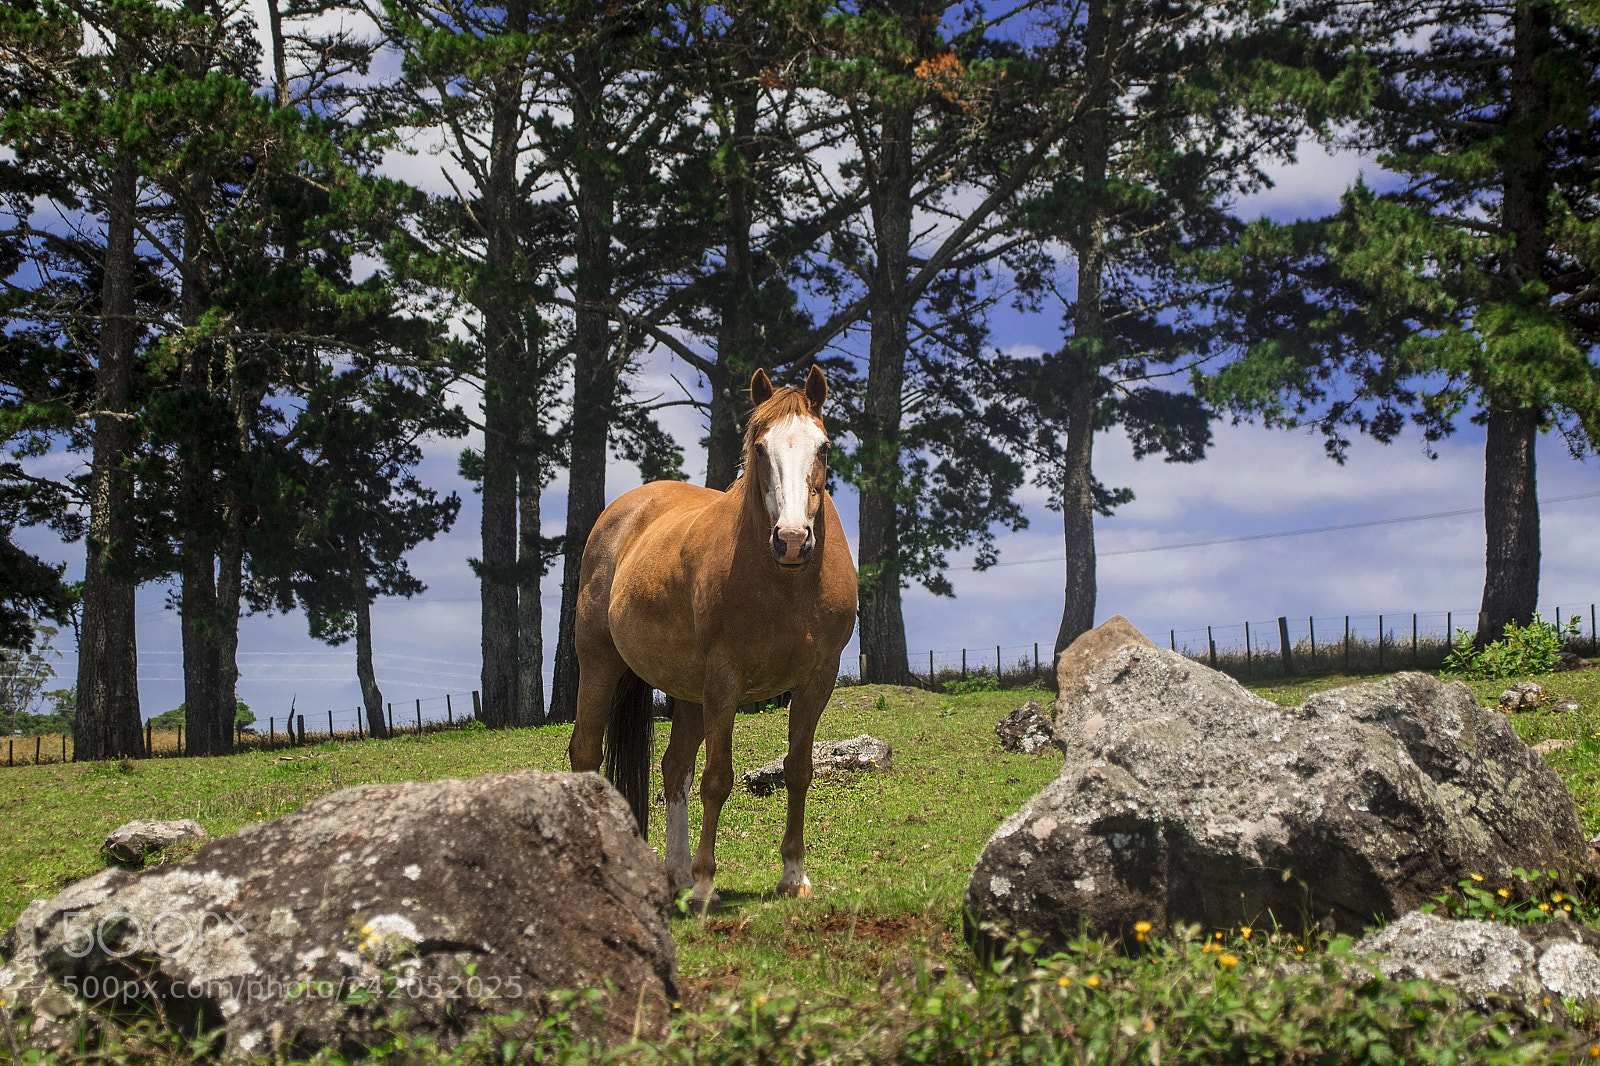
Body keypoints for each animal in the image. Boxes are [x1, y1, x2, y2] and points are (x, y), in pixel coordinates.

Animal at [568, 365, 857, 910]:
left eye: (824, 447)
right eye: (760, 448)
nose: (792, 540)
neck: (784, 583)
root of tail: (624, 511)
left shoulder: (817, 680)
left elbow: (799, 769)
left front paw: (793, 875)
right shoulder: (725, 680)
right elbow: (718, 778)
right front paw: (705, 883)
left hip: (688, 693)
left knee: (673, 767)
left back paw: (675, 875)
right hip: (600, 664)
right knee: (586, 755)